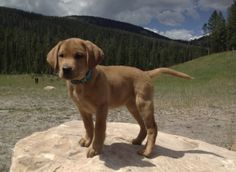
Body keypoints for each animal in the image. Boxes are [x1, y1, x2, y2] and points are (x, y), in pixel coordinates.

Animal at [47, 37, 193, 157]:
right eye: (61, 55)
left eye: (79, 55)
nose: (66, 69)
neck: (82, 82)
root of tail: (145, 73)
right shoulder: (82, 109)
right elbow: (88, 126)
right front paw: (87, 141)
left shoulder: (101, 108)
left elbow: (99, 129)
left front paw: (95, 149)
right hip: (132, 106)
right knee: (143, 126)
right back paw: (137, 140)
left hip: (144, 103)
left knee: (152, 128)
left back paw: (147, 151)